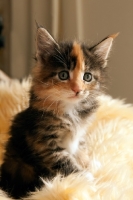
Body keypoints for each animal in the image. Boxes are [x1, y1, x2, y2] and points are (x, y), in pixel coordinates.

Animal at [0, 27, 116, 198]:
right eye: (63, 75)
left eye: (87, 77)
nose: (77, 89)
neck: (71, 110)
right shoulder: (45, 143)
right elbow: (66, 162)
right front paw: (88, 179)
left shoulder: (79, 135)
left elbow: (81, 151)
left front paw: (90, 164)